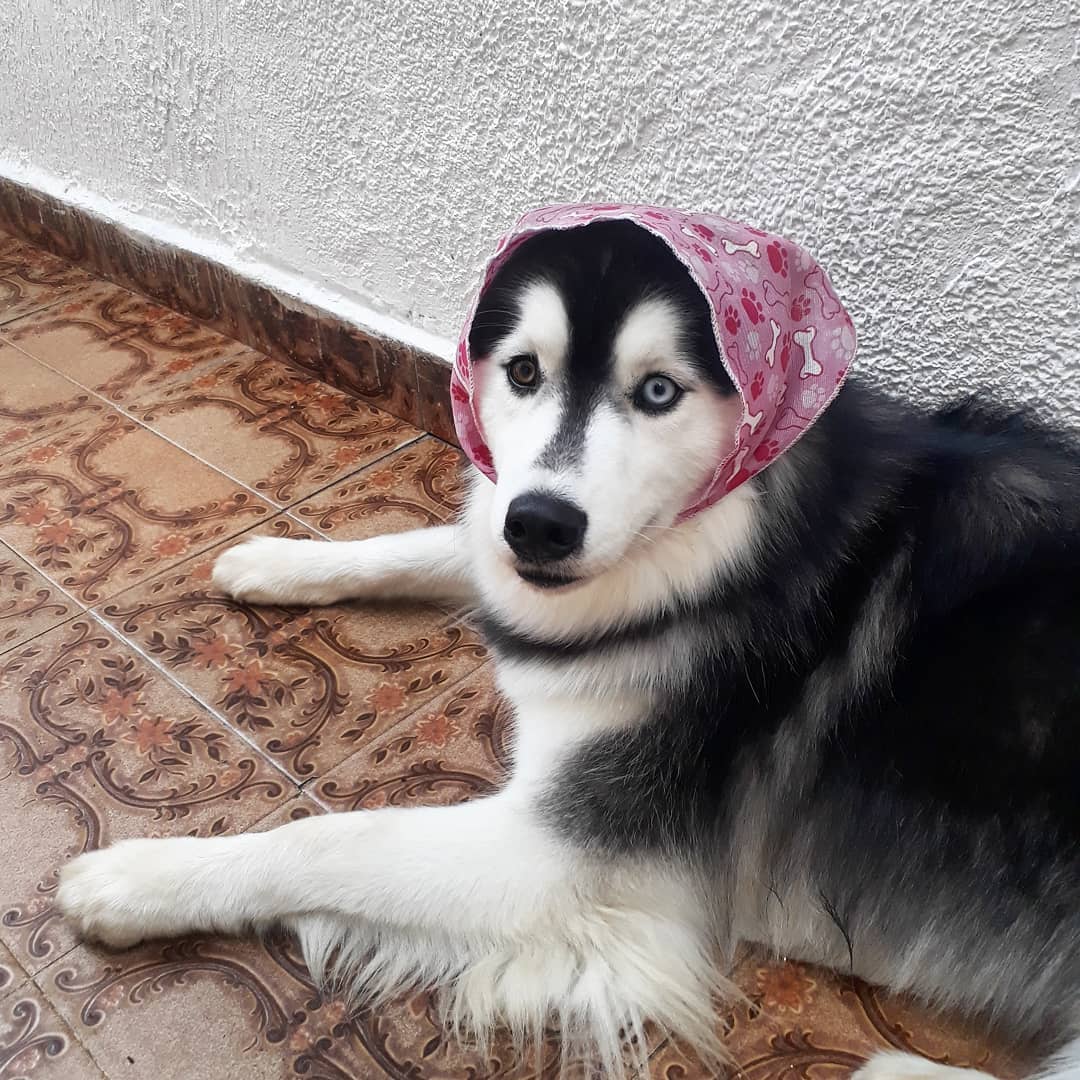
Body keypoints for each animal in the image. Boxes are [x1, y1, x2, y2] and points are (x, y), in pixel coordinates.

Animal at [56, 219, 1080, 1080]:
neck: (735, 551)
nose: (541, 524)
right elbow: (433, 540)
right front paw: (279, 560)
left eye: (659, 391)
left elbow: (331, 837)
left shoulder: (561, 857)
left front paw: (144, 876)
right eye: (521, 372)